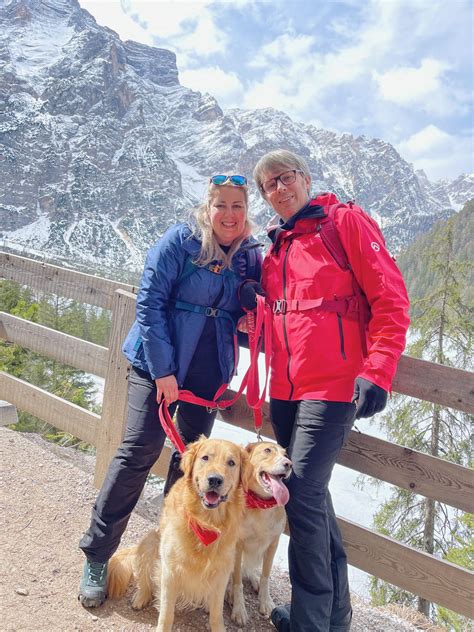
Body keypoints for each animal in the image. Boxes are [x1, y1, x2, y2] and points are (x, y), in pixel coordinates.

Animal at [106, 440, 250, 632]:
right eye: (205, 457)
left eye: (231, 462)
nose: (214, 479)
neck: (206, 523)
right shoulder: (170, 571)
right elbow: (167, 613)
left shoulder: (222, 572)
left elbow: (217, 614)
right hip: (150, 542)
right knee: (145, 579)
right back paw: (140, 597)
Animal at [229, 440, 290, 628]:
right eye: (267, 450)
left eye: (285, 454)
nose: (289, 464)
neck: (261, 505)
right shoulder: (237, 545)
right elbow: (237, 583)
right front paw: (239, 609)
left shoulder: (273, 544)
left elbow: (266, 576)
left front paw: (266, 601)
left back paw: (253, 579)